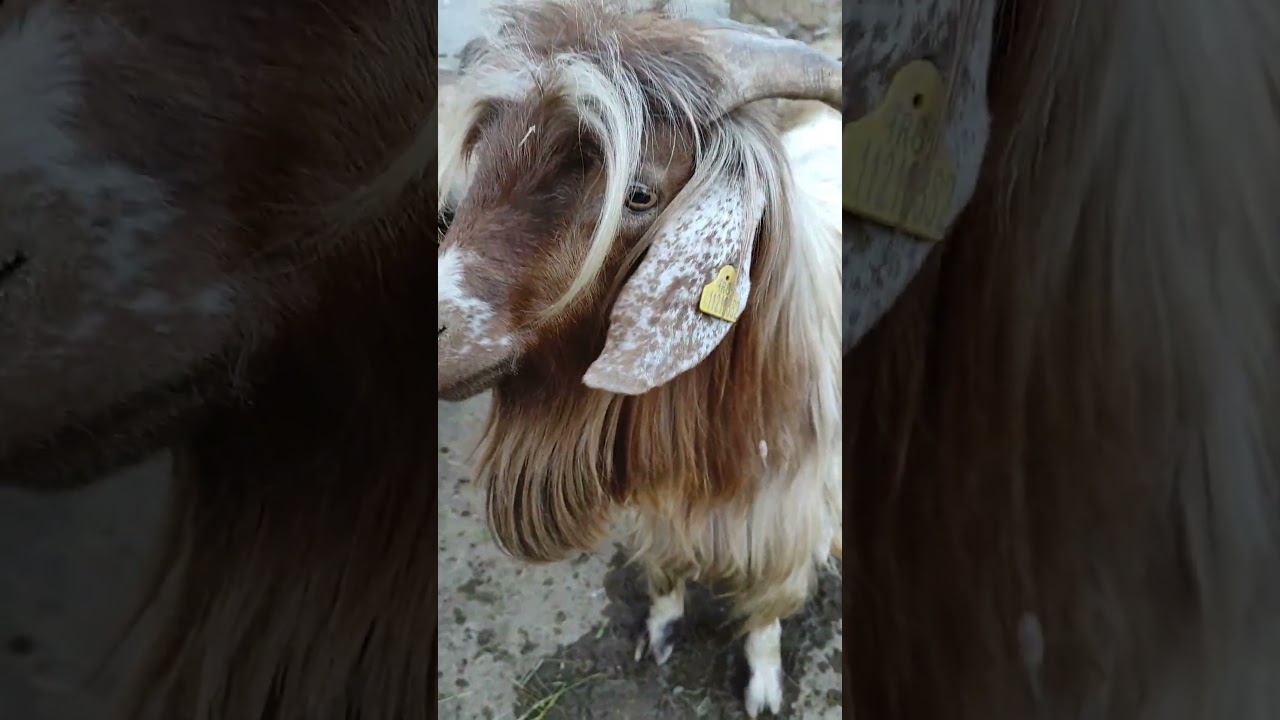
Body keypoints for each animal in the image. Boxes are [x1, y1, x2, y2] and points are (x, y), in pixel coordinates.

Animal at [436, 1, 842, 715]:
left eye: (640, 195)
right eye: (482, 162)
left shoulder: (787, 526)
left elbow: (768, 612)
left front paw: (763, 684)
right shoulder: (659, 512)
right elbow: (666, 572)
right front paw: (660, 630)